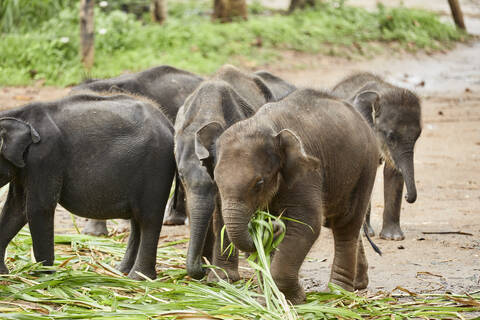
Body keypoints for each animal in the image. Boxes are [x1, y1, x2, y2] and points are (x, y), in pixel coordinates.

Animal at [0, 92, 175, 280]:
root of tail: (167, 122)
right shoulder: (24, 165)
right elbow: (15, 209)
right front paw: (3, 273)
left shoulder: (45, 156)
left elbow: (39, 208)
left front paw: (47, 277)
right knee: (137, 220)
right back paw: (122, 271)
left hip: (157, 165)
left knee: (149, 219)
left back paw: (138, 277)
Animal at [208, 89, 380, 304]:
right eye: (216, 180)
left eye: (259, 183)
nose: (275, 226)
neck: (266, 124)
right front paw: (270, 298)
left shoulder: (307, 173)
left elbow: (307, 224)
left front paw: (294, 299)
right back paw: (354, 285)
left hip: (365, 169)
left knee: (346, 225)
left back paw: (337, 292)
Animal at [332, 73, 422, 240]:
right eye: (391, 137)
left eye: (417, 137)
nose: (408, 196)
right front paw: (363, 233)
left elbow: (392, 172)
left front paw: (393, 237)